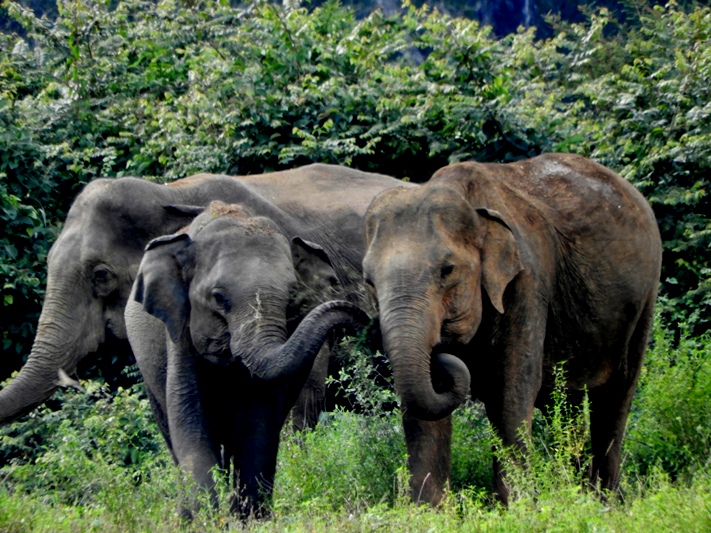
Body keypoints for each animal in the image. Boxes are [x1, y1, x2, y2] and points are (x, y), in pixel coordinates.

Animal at [126, 201, 368, 516]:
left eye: (292, 295)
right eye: (217, 297)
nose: (362, 317)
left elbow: (257, 426)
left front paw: (249, 519)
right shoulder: (178, 333)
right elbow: (190, 423)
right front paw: (209, 518)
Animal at [364, 153, 664, 502]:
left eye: (447, 270)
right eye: (369, 281)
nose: (443, 353)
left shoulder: (527, 283)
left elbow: (511, 390)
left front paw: (517, 506)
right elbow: (423, 413)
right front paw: (428, 510)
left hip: (645, 297)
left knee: (616, 396)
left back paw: (605, 501)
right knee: (570, 402)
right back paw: (577, 494)